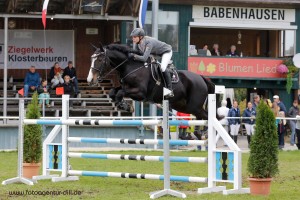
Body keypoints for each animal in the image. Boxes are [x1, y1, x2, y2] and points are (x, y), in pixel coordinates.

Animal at [86, 44, 218, 138]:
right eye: (91, 59)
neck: (130, 66)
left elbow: (120, 93)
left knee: (207, 115)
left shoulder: (140, 93)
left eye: (100, 59)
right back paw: (199, 133)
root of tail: (201, 78)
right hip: (183, 106)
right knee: (201, 116)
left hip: (193, 106)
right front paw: (124, 106)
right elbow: (114, 92)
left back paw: (204, 133)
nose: (90, 80)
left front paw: (126, 106)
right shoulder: (126, 87)